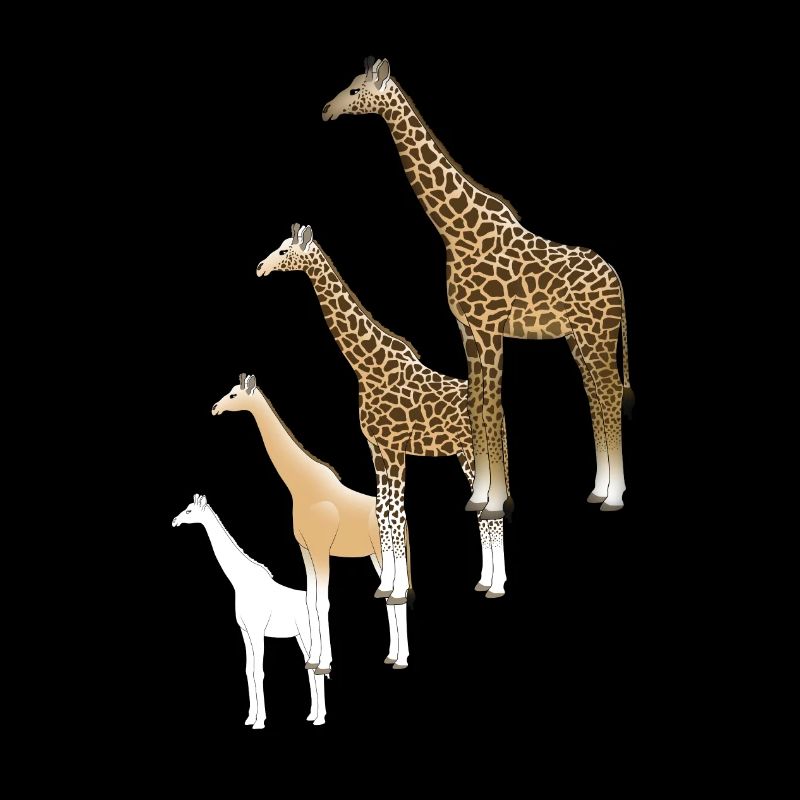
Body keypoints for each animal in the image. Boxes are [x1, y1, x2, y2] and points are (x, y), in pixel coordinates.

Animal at [172, 494, 327, 726]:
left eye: (189, 511)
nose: (175, 521)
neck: (242, 582)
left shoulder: (256, 631)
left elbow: (257, 672)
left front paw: (260, 721)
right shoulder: (244, 631)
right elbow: (247, 670)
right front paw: (249, 717)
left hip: (308, 633)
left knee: (316, 669)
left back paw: (320, 718)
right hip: (300, 635)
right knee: (309, 667)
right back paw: (312, 715)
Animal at [212, 373, 410, 673]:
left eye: (234, 395)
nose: (215, 408)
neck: (302, 487)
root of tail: (402, 519)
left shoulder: (320, 549)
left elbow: (323, 602)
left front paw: (324, 664)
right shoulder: (304, 549)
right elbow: (310, 599)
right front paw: (312, 659)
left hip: (381, 550)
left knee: (398, 594)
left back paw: (401, 659)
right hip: (374, 555)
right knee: (389, 594)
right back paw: (392, 656)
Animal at [256, 224, 507, 602]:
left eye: (285, 251)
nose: (260, 267)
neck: (368, 367)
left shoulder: (394, 449)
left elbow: (395, 514)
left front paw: (399, 590)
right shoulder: (376, 449)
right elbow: (381, 512)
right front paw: (385, 585)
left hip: (475, 452)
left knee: (493, 508)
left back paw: (497, 585)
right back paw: (484, 581)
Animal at [322, 57, 634, 515]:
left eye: (358, 88)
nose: (328, 108)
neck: (457, 232)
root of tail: (618, 282)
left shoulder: (490, 329)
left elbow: (491, 406)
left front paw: (496, 503)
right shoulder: (467, 329)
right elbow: (476, 403)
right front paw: (479, 497)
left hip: (598, 334)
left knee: (609, 393)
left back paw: (614, 497)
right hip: (579, 337)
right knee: (596, 394)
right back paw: (598, 489)